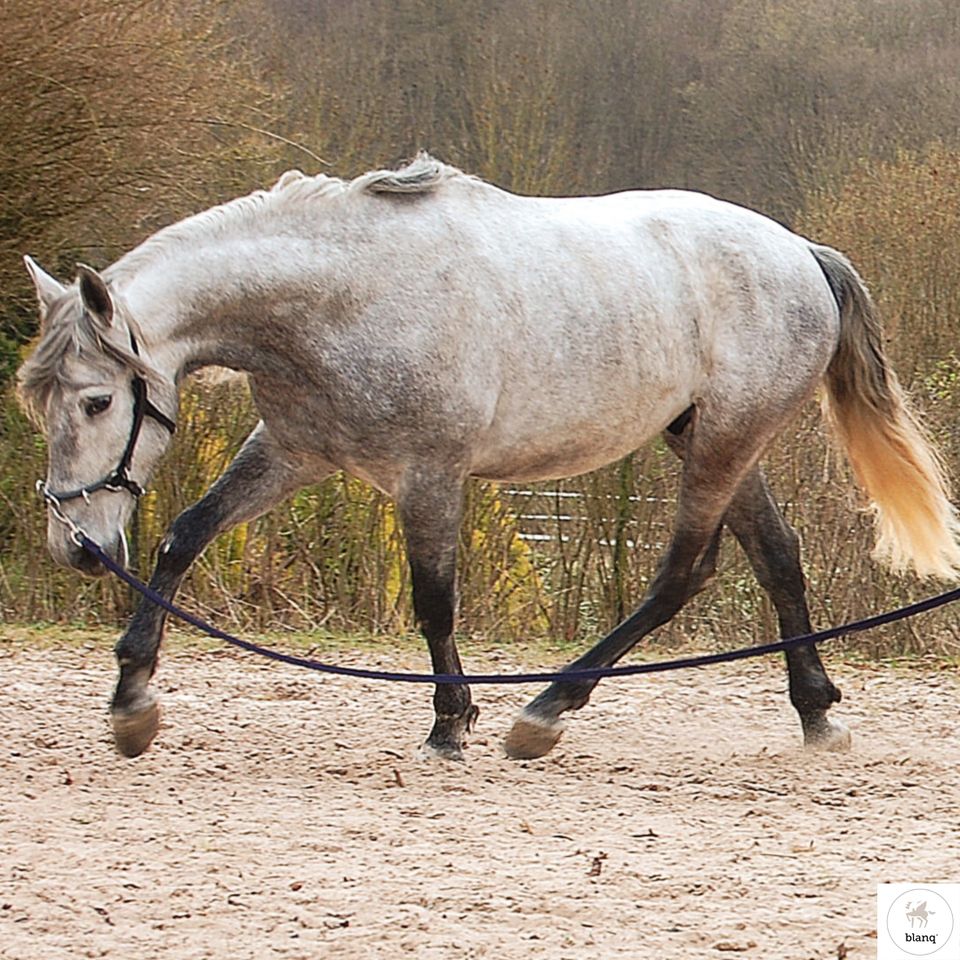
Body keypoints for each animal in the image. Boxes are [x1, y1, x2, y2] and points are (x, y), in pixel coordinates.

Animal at [16, 154, 960, 760]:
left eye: (97, 401)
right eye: (38, 402)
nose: (79, 548)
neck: (340, 297)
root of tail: (800, 252)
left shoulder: (428, 474)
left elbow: (435, 600)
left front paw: (450, 724)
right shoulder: (294, 452)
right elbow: (184, 537)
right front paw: (132, 704)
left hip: (724, 440)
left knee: (682, 576)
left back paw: (544, 712)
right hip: (716, 437)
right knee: (777, 559)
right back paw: (816, 715)